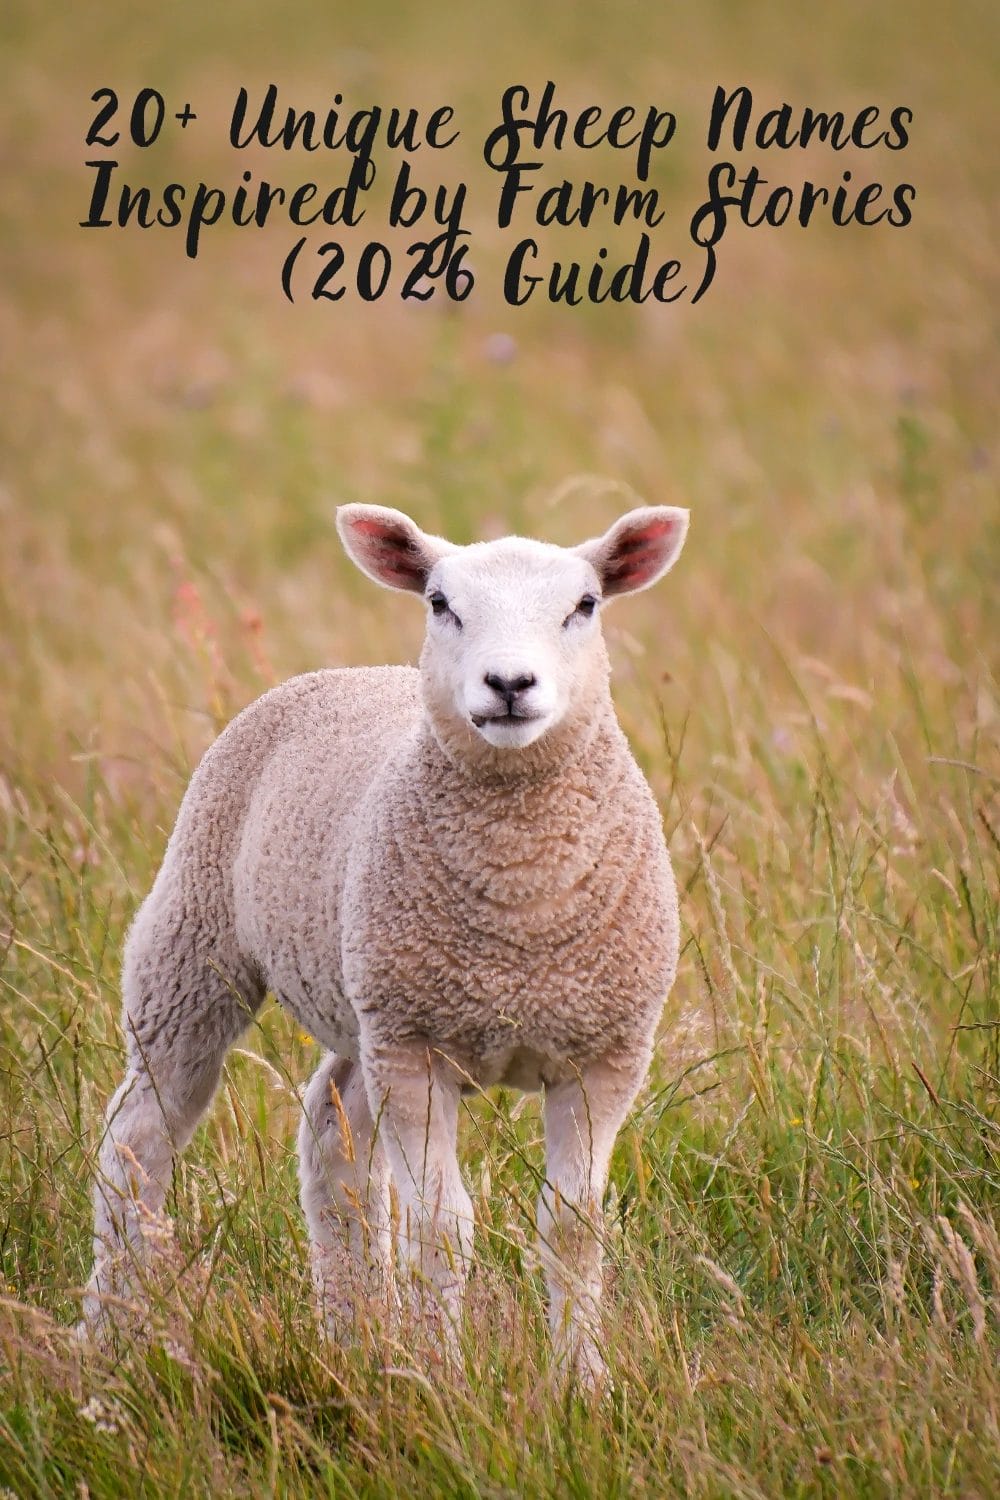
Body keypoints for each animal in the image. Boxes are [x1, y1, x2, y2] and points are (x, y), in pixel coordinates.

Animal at [83, 501, 689, 1388]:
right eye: (440, 603)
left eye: (585, 605)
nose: (510, 685)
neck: (521, 908)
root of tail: (349, 671)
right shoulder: (417, 1053)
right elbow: (441, 1227)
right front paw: (450, 1383)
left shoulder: (602, 1055)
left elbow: (573, 1229)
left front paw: (581, 1386)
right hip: (196, 945)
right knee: (137, 1144)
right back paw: (108, 1337)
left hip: (363, 999)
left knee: (330, 1139)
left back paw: (350, 1335)